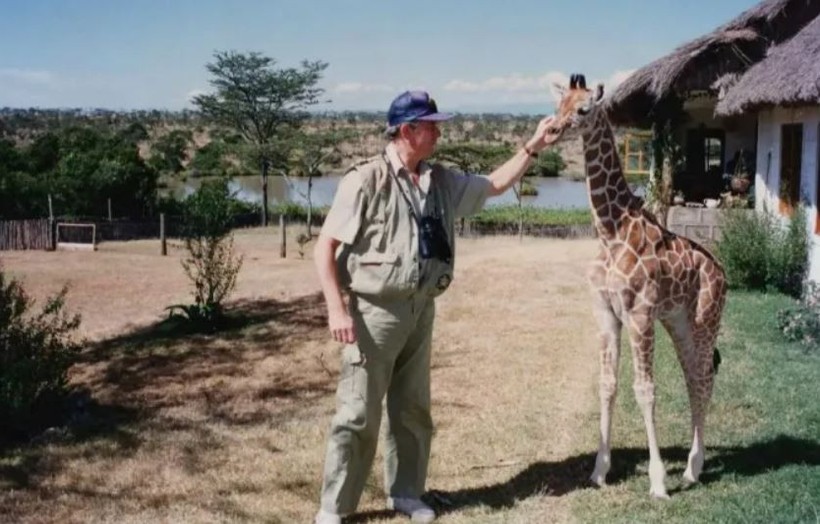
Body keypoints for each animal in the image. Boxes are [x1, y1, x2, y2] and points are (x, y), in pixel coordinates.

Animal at [548, 72, 728, 496]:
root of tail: (724, 276)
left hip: (705, 320)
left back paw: (692, 469)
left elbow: (645, 390)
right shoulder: (606, 314)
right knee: (695, 376)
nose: (552, 131)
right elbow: (607, 385)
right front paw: (599, 471)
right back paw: (693, 467)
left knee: (703, 378)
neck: (610, 232)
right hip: (679, 322)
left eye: (584, 109)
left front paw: (658, 482)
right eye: (558, 105)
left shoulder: (641, 313)